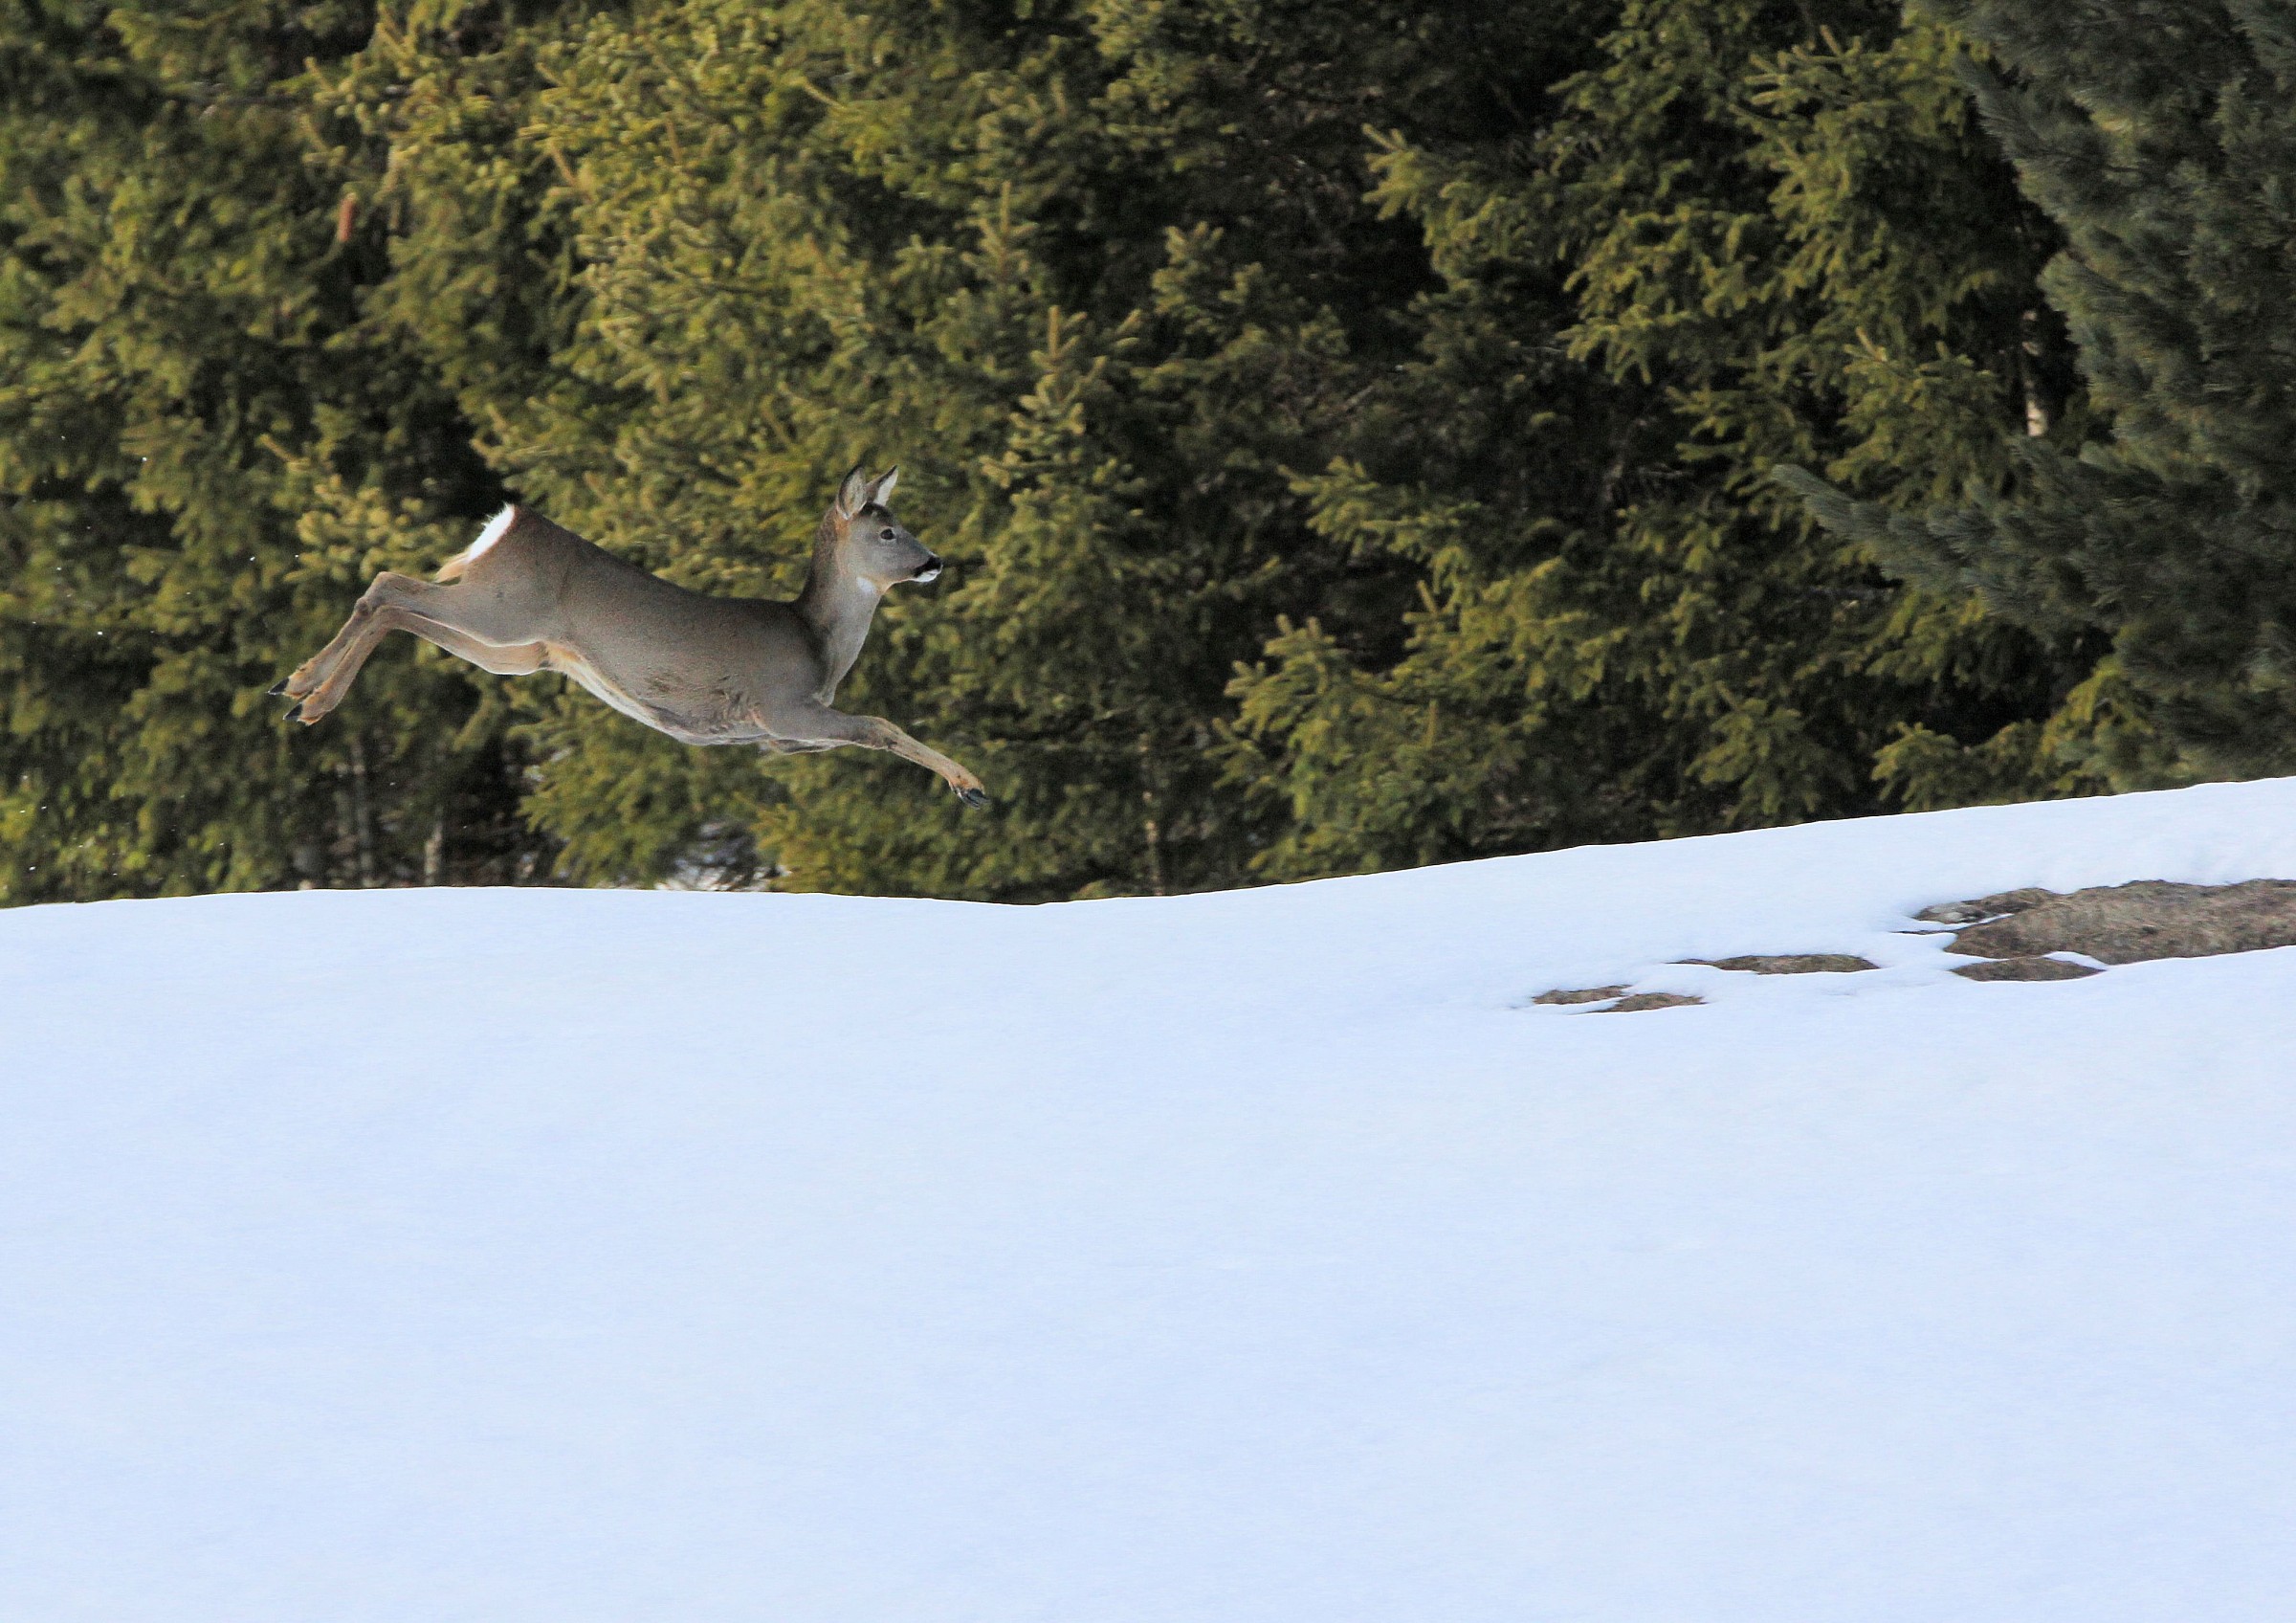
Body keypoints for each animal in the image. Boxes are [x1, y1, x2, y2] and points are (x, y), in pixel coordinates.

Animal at [270, 467, 989, 807]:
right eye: (888, 531)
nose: (935, 561)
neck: (818, 643)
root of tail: (507, 525)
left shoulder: (782, 734)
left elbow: (869, 732)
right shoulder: (782, 706)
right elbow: (879, 726)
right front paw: (971, 785)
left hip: (518, 649)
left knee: (399, 609)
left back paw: (302, 693)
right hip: (504, 611)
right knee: (387, 584)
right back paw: (305, 690)